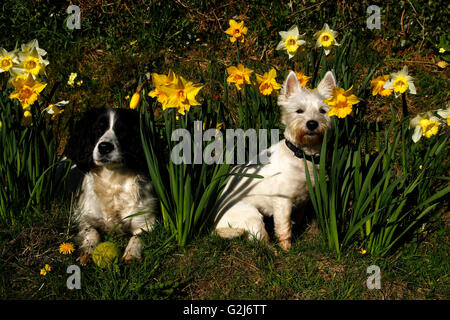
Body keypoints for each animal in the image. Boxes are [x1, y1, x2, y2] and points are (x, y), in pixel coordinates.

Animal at [65, 108, 156, 264]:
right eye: (98, 129)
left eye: (122, 131)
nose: (104, 147)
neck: (112, 180)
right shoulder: (84, 217)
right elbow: (91, 231)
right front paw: (88, 250)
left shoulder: (146, 221)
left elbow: (137, 237)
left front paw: (131, 253)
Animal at [216, 70, 336, 250]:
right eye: (299, 111)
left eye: (323, 111)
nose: (312, 124)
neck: (301, 155)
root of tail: (216, 226)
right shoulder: (282, 202)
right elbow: (284, 228)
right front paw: (287, 249)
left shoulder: (303, 199)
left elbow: (296, 221)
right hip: (252, 216)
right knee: (261, 242)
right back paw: (274, 251)